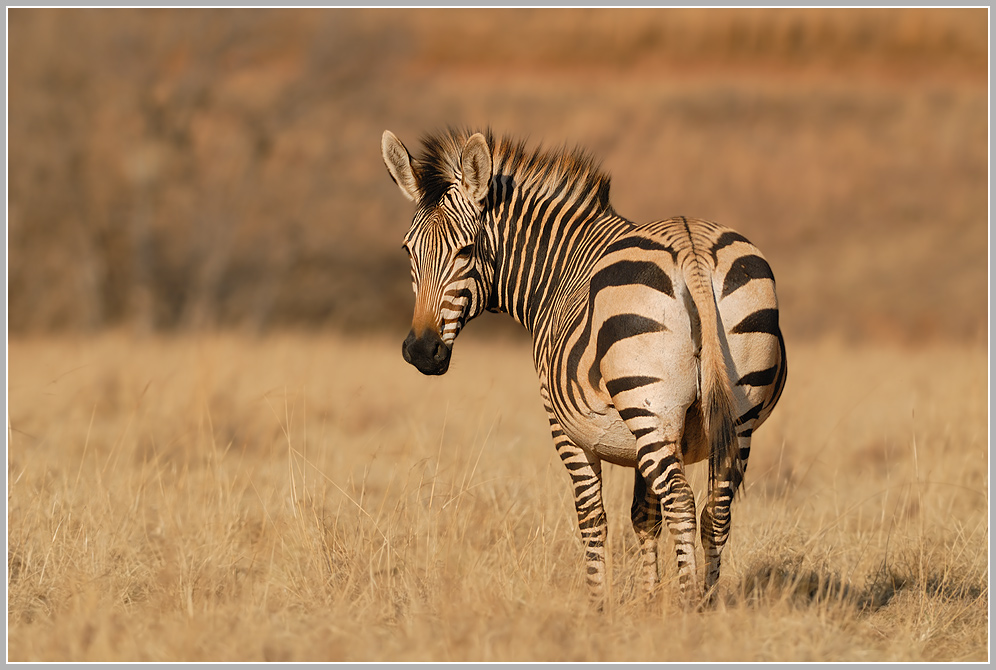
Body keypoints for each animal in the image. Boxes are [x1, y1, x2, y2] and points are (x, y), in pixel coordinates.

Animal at [382, 127, 784, 608]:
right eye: (408, 251)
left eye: (465, 250)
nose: (421, 351)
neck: (559, 271)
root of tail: (691, 245)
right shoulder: (648, 439)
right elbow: (644, 515)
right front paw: (647, 603)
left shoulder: (568, 429)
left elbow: (592, 517)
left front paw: (599, 606)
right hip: (735, 414)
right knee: (715, 510)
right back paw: (706, 602)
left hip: (650, 407)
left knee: (682, 503)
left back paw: (688, 605)